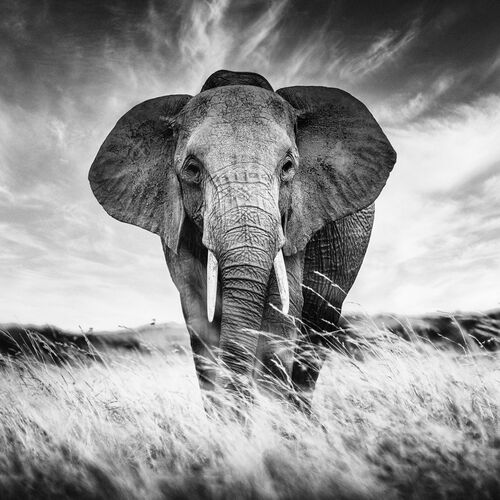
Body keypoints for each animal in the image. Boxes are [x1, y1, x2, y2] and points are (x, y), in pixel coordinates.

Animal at [89, 69, 394, 410]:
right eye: (192, 169)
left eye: (288, 166)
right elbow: (199, 314)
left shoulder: (295, 218)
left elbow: (281, 310)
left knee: (317, 330)